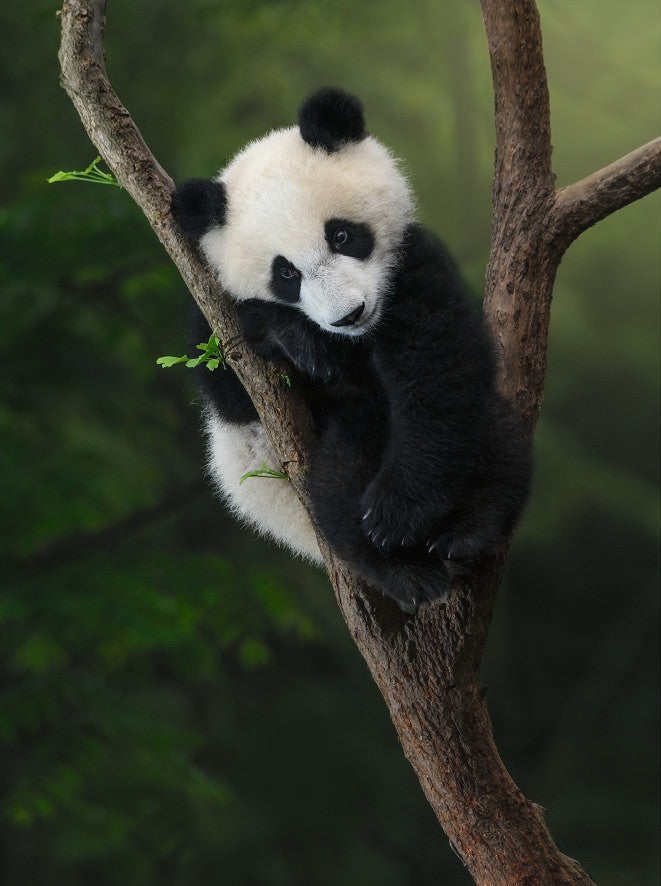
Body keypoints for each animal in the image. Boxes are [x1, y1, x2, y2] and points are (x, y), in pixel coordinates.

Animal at [171, 86, 532, 608]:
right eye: (286, 274)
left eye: (341, 235)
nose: (349, 314)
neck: (355, 342)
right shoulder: (213, 317)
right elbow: (233, 386)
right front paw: (298, 340)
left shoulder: (412, 267)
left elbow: (436, 372)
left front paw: (396, 511)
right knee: (336, 486)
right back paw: (404, 569)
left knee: (497, 438)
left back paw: (466, 531)